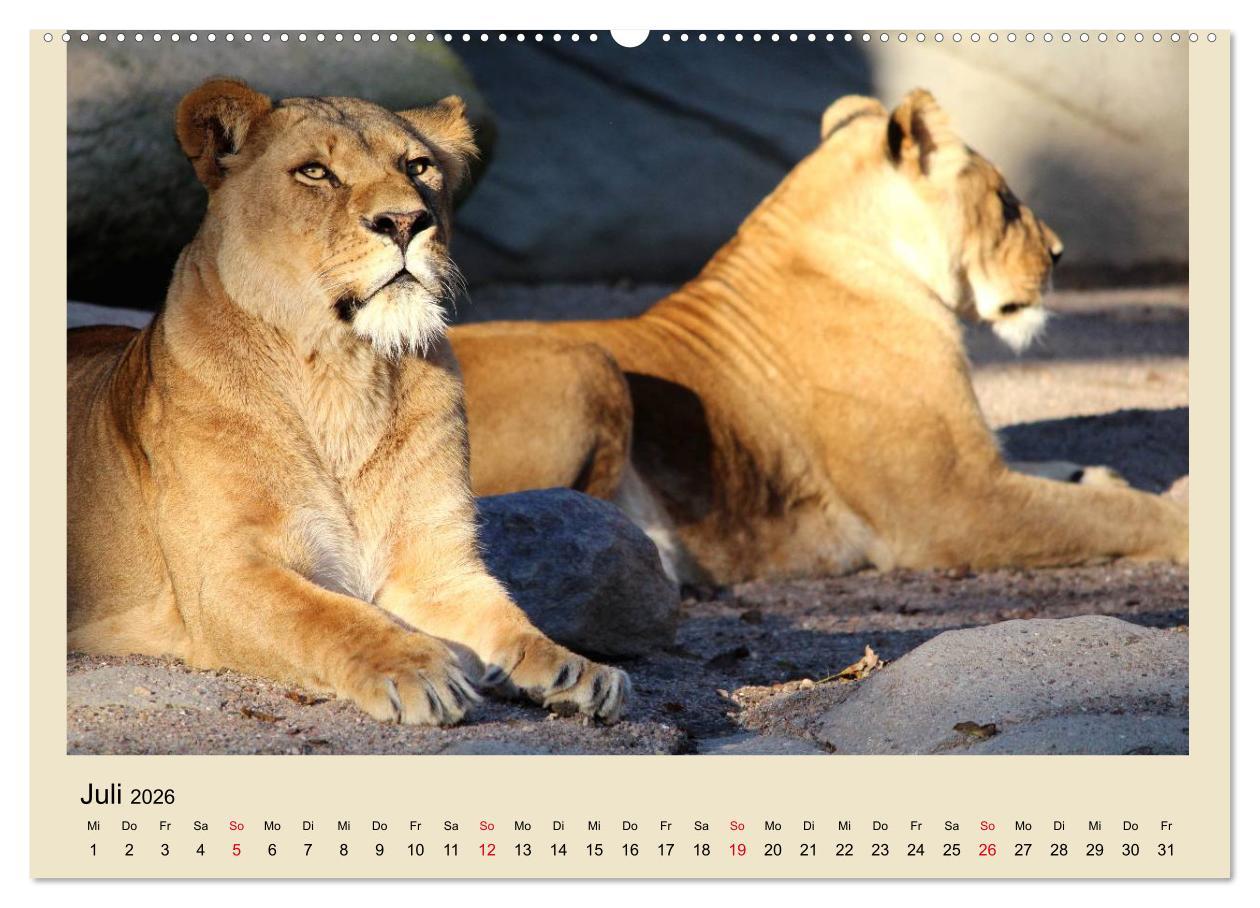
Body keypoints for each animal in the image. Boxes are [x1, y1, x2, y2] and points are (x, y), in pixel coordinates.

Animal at [67, 78, 628, 725]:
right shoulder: (223, 574)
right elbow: (326, 616)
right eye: (315, 172)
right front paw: (418, 669)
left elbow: (509, 621)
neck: (341, 370)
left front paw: (576, 669)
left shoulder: (436, 567)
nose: (407, 221)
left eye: (417, 167)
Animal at [451, 89, 1189, 585]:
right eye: (1007, 203)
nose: (1060, 254)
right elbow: (1111, 515)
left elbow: (1070, 478)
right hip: (586, 359)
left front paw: (1103, 474)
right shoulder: (951, 506)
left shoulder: (977, 468)